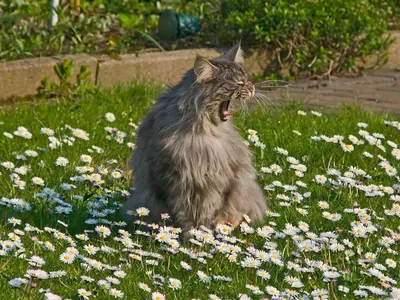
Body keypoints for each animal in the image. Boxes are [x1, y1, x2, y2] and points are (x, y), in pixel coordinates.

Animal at [120, 44, 268, 237]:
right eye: (239, 83)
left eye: (247, 80)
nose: (252, 88)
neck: (199, 135)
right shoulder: (174, 177)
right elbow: (182, 212)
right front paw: (189, 235)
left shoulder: (216, 178)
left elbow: (210, 209)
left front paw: (204, 236)